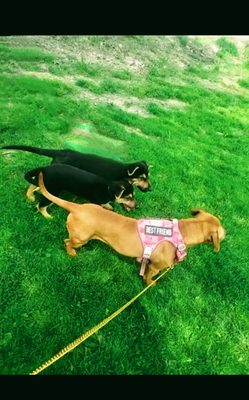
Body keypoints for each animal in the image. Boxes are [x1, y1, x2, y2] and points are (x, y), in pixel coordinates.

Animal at [37, 172, 226, 284]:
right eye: (223, 234)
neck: (182, 231)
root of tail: (78, 207)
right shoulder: (156, 267)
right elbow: (149, 277)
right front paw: (150, 284)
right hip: (80, 238)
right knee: (67, 242)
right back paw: (71, 253)